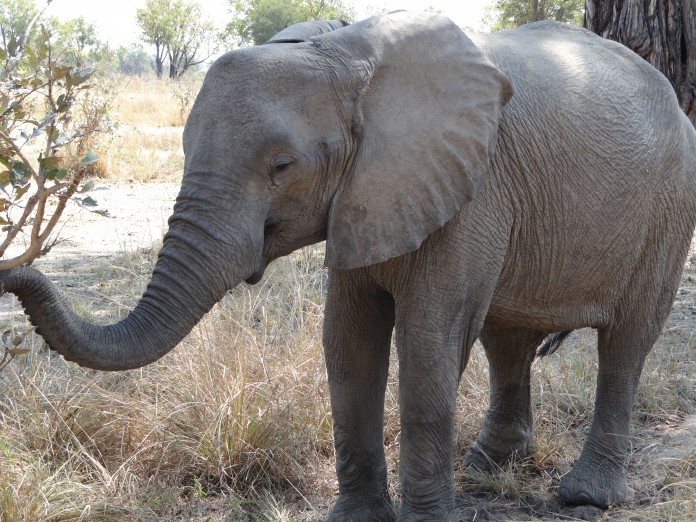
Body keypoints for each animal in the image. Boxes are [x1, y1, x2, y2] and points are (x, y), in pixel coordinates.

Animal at [1, 9, 696, 520]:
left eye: (283, 166)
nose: (10, 272)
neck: (343, 55)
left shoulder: (469, 187)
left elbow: (428, 336)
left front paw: (425, 521)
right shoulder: (373, 195)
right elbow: (347, 338)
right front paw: (358, 518)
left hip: (670, 204)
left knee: (626, 341)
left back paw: (586, 497)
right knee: (506, 337)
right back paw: (488, 466)